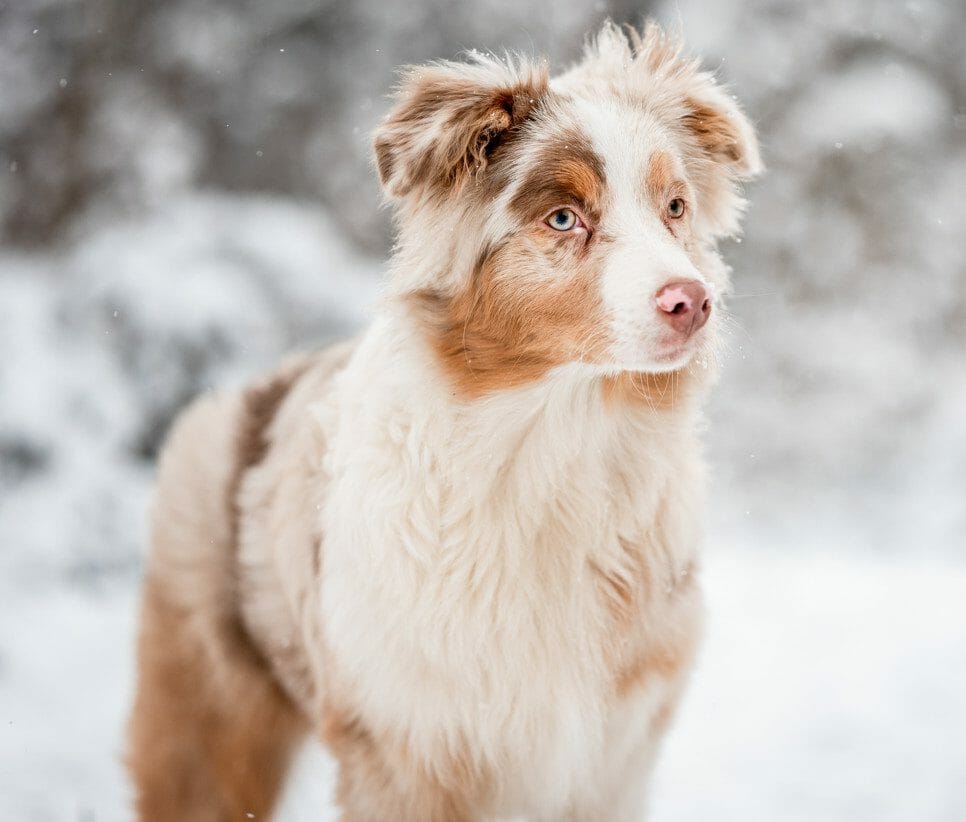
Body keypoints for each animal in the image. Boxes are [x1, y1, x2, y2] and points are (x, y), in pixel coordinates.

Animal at [129, 20, 764, 822]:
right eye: (564, 218)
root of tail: (253, 389)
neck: (555, 438)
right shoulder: (407, 742)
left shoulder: (610, 753)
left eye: (674, 207)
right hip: (208, 725)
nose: (694, 302)